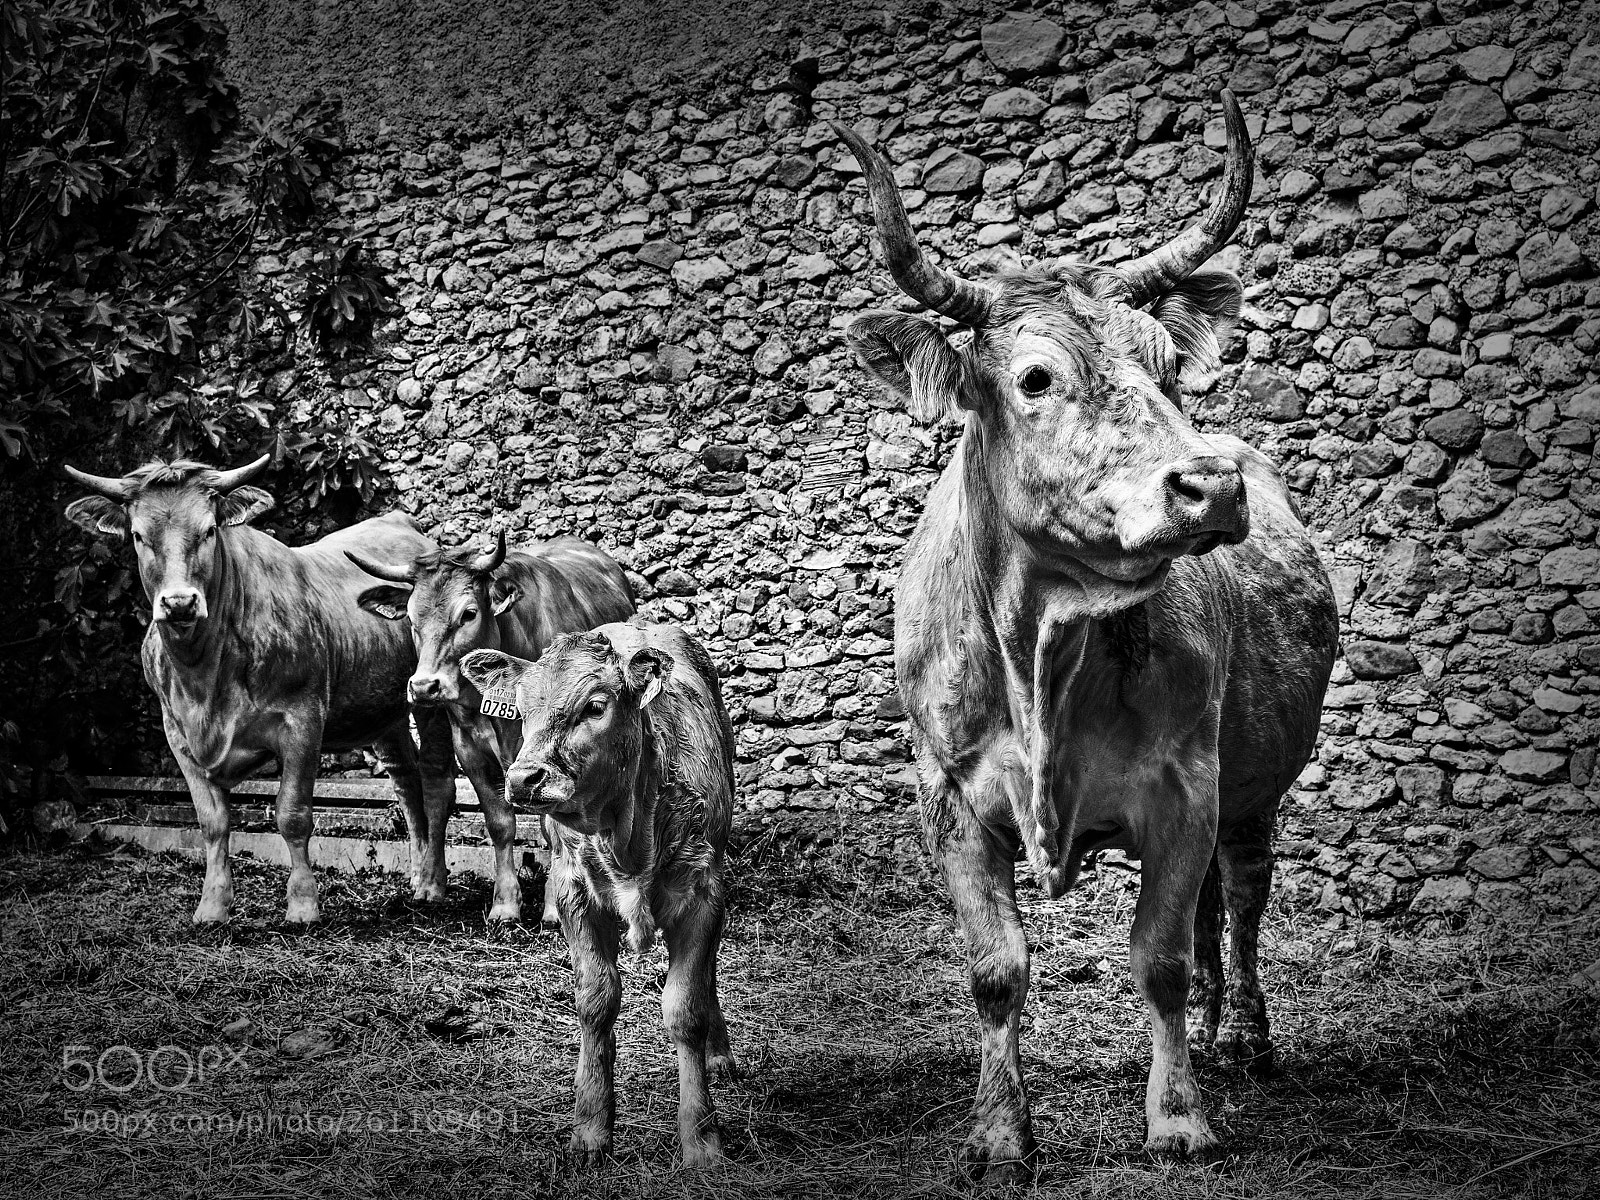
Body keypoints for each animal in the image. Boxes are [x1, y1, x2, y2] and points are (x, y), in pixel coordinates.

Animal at [63, 456, 457, 924]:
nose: (179, 603)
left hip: (429, 695)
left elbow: (292, 815)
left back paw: (433, 884)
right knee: (405, 781)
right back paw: (416, 876)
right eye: (139, 536)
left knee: (437, 782)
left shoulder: (302, 721)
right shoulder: (178, 736)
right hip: (384, 710)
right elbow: (212, 822)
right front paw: (212, 905)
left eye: (209, 530)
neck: (205, 675)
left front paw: (303, 905)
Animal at [344, 532, 635, 923]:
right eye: (411, 618)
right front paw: (505, 903)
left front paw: (553, 907)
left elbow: (550, 829)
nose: (424, 686)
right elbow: (499, 824)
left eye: (468, 613)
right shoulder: (471, 752)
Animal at [459, 622, 735, 1167]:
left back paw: (719, 1053)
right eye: (521, 708)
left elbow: (685, 1006)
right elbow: (595, 1000)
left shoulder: (702, 892)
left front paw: (701, 1137)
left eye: (594, 706)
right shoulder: (574, 895)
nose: (523, 778)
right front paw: (590, 1128)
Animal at [832, 91, 1338, 1176]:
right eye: (1034, 378)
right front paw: (997, 1136)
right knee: (1210, 909)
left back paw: (1242, 1038)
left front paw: (1179, 1119)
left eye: (1166, 367)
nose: (1208, 487)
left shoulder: (1186, 786)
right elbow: (995, 970)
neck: (1042, 655)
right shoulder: (951, 800)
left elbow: (1158, 958)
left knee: (1242, 894)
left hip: (1251, 782)